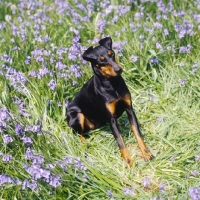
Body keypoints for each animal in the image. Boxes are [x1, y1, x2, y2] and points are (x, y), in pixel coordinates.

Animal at [67, 36, 153, 166]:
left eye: (111, 54)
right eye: (101, 60)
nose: (119, 69)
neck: (112, 84)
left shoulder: (129, 110)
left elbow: (138, 134)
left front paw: (146, 153)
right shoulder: (111, 119)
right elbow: (120, 142)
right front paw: (129, 161)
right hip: (77, 115)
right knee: (78, 133)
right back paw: (85, 143)